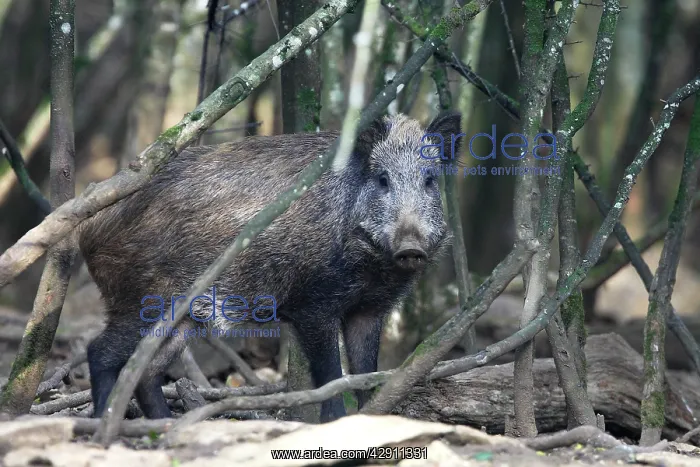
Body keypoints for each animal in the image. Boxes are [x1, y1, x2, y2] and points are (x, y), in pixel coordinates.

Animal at [78, 111, 463, 422]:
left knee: (146, 373)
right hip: (139, 300)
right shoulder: (314, 305)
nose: (411, 248)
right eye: (382, 179)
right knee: (99, 353)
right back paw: (102, 423)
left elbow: (366, 372)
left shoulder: (369, 309)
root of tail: (89, 228)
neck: (371, 266)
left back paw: (163, 424)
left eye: (430, 181)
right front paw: (334, 422)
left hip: (182, 317)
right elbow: (330, 375)